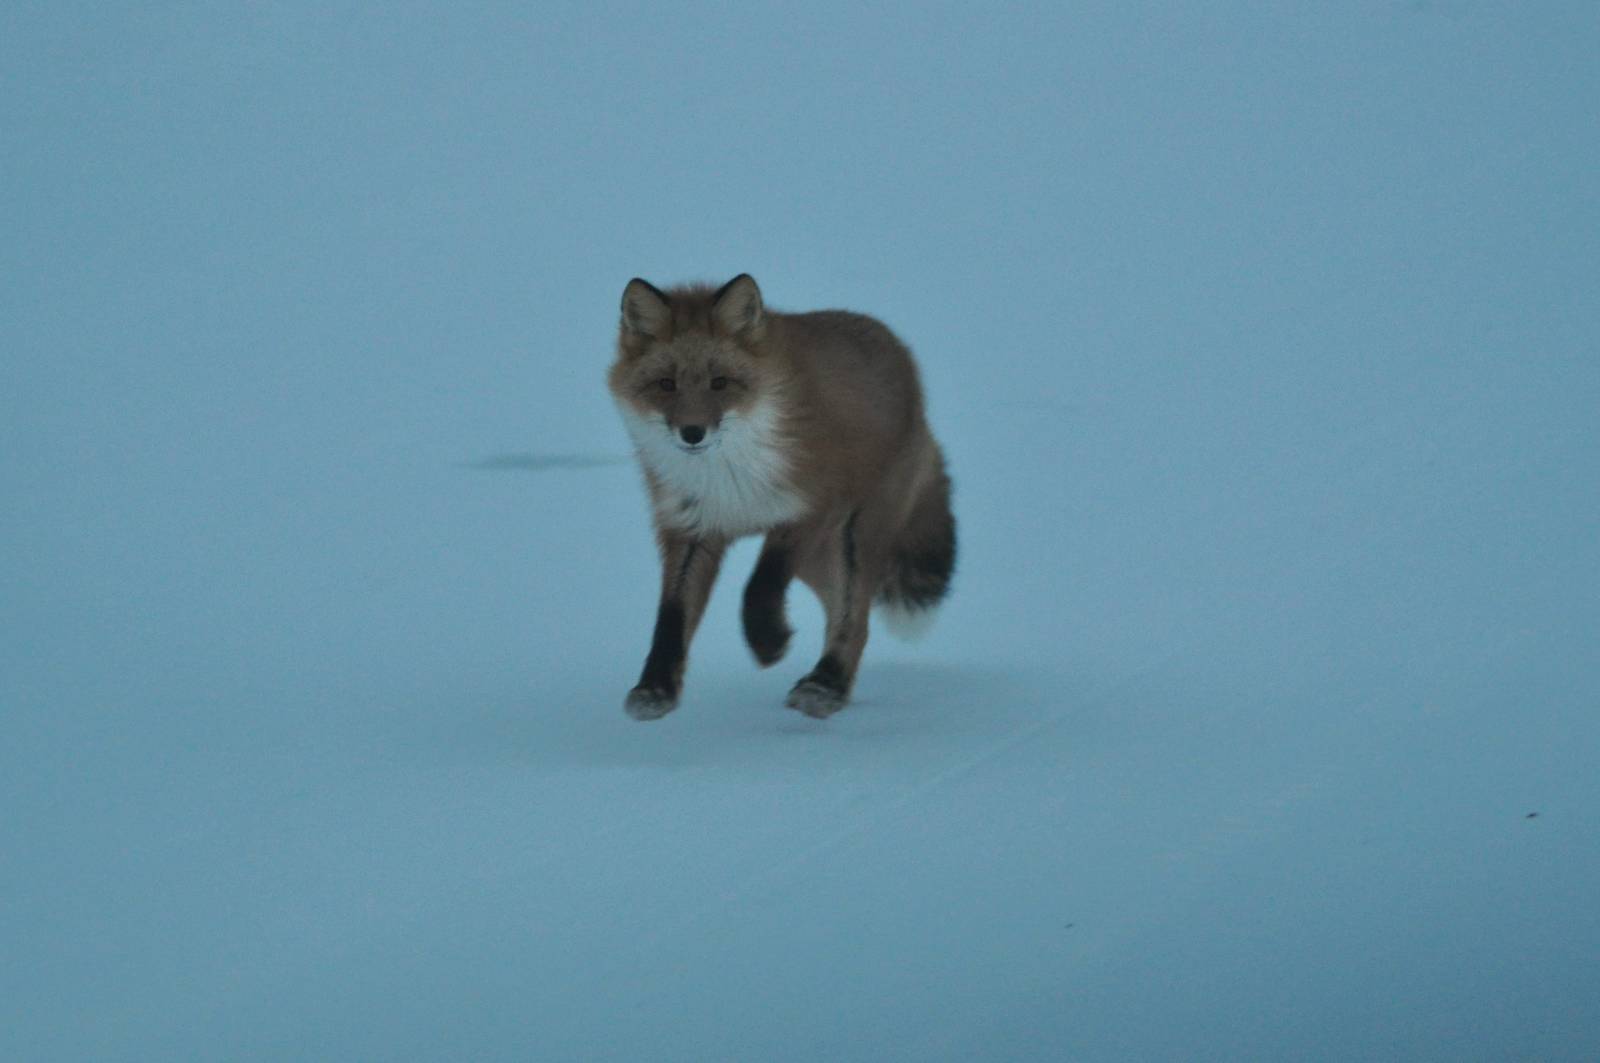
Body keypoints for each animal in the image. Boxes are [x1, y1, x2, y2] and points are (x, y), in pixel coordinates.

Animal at [608, 274, 955, 720]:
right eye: (666, 384)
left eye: (719, 382)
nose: (692, 433)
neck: (729, 478)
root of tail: (902, 354)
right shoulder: (691, 527)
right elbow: (671, 617)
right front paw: (655, 688)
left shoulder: (812, 507)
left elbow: (761, 583)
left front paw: (767, 641)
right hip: (820, 558)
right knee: (841, 609)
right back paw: (831, 682)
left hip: (855, 535)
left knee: (854, 616)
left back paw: (826, 683)